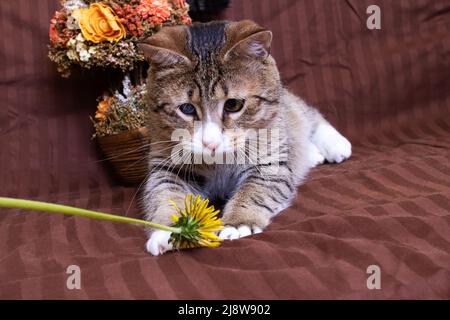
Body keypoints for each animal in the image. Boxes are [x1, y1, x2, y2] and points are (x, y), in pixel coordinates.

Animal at [138, 20, 352, 255]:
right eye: (186, 108)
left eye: (233, 104)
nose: (210, 143)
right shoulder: (167, 165)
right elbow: (164, 193)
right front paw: (169, 230)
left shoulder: (270, 163)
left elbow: (254, 190)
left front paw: (237, 223)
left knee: (304, 113)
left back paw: (334, 144)